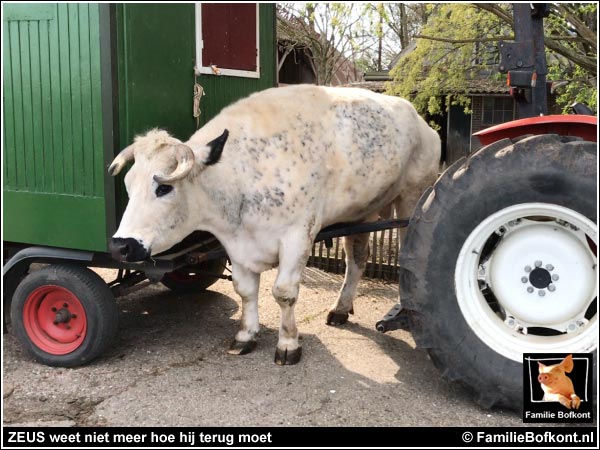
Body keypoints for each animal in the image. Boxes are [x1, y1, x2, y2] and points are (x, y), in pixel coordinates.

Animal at [108, 85, 438, 366]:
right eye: (128, 185)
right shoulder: (236, 244)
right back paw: (341, 308)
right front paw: (246, 335)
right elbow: (245, 290)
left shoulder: (298, 235)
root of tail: (419, 119)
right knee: (356, 259)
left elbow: (284, 292)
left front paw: (288, 343)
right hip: (362, 209)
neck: (240, 177)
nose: (120, 245)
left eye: (164, 188)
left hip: (414, 196)